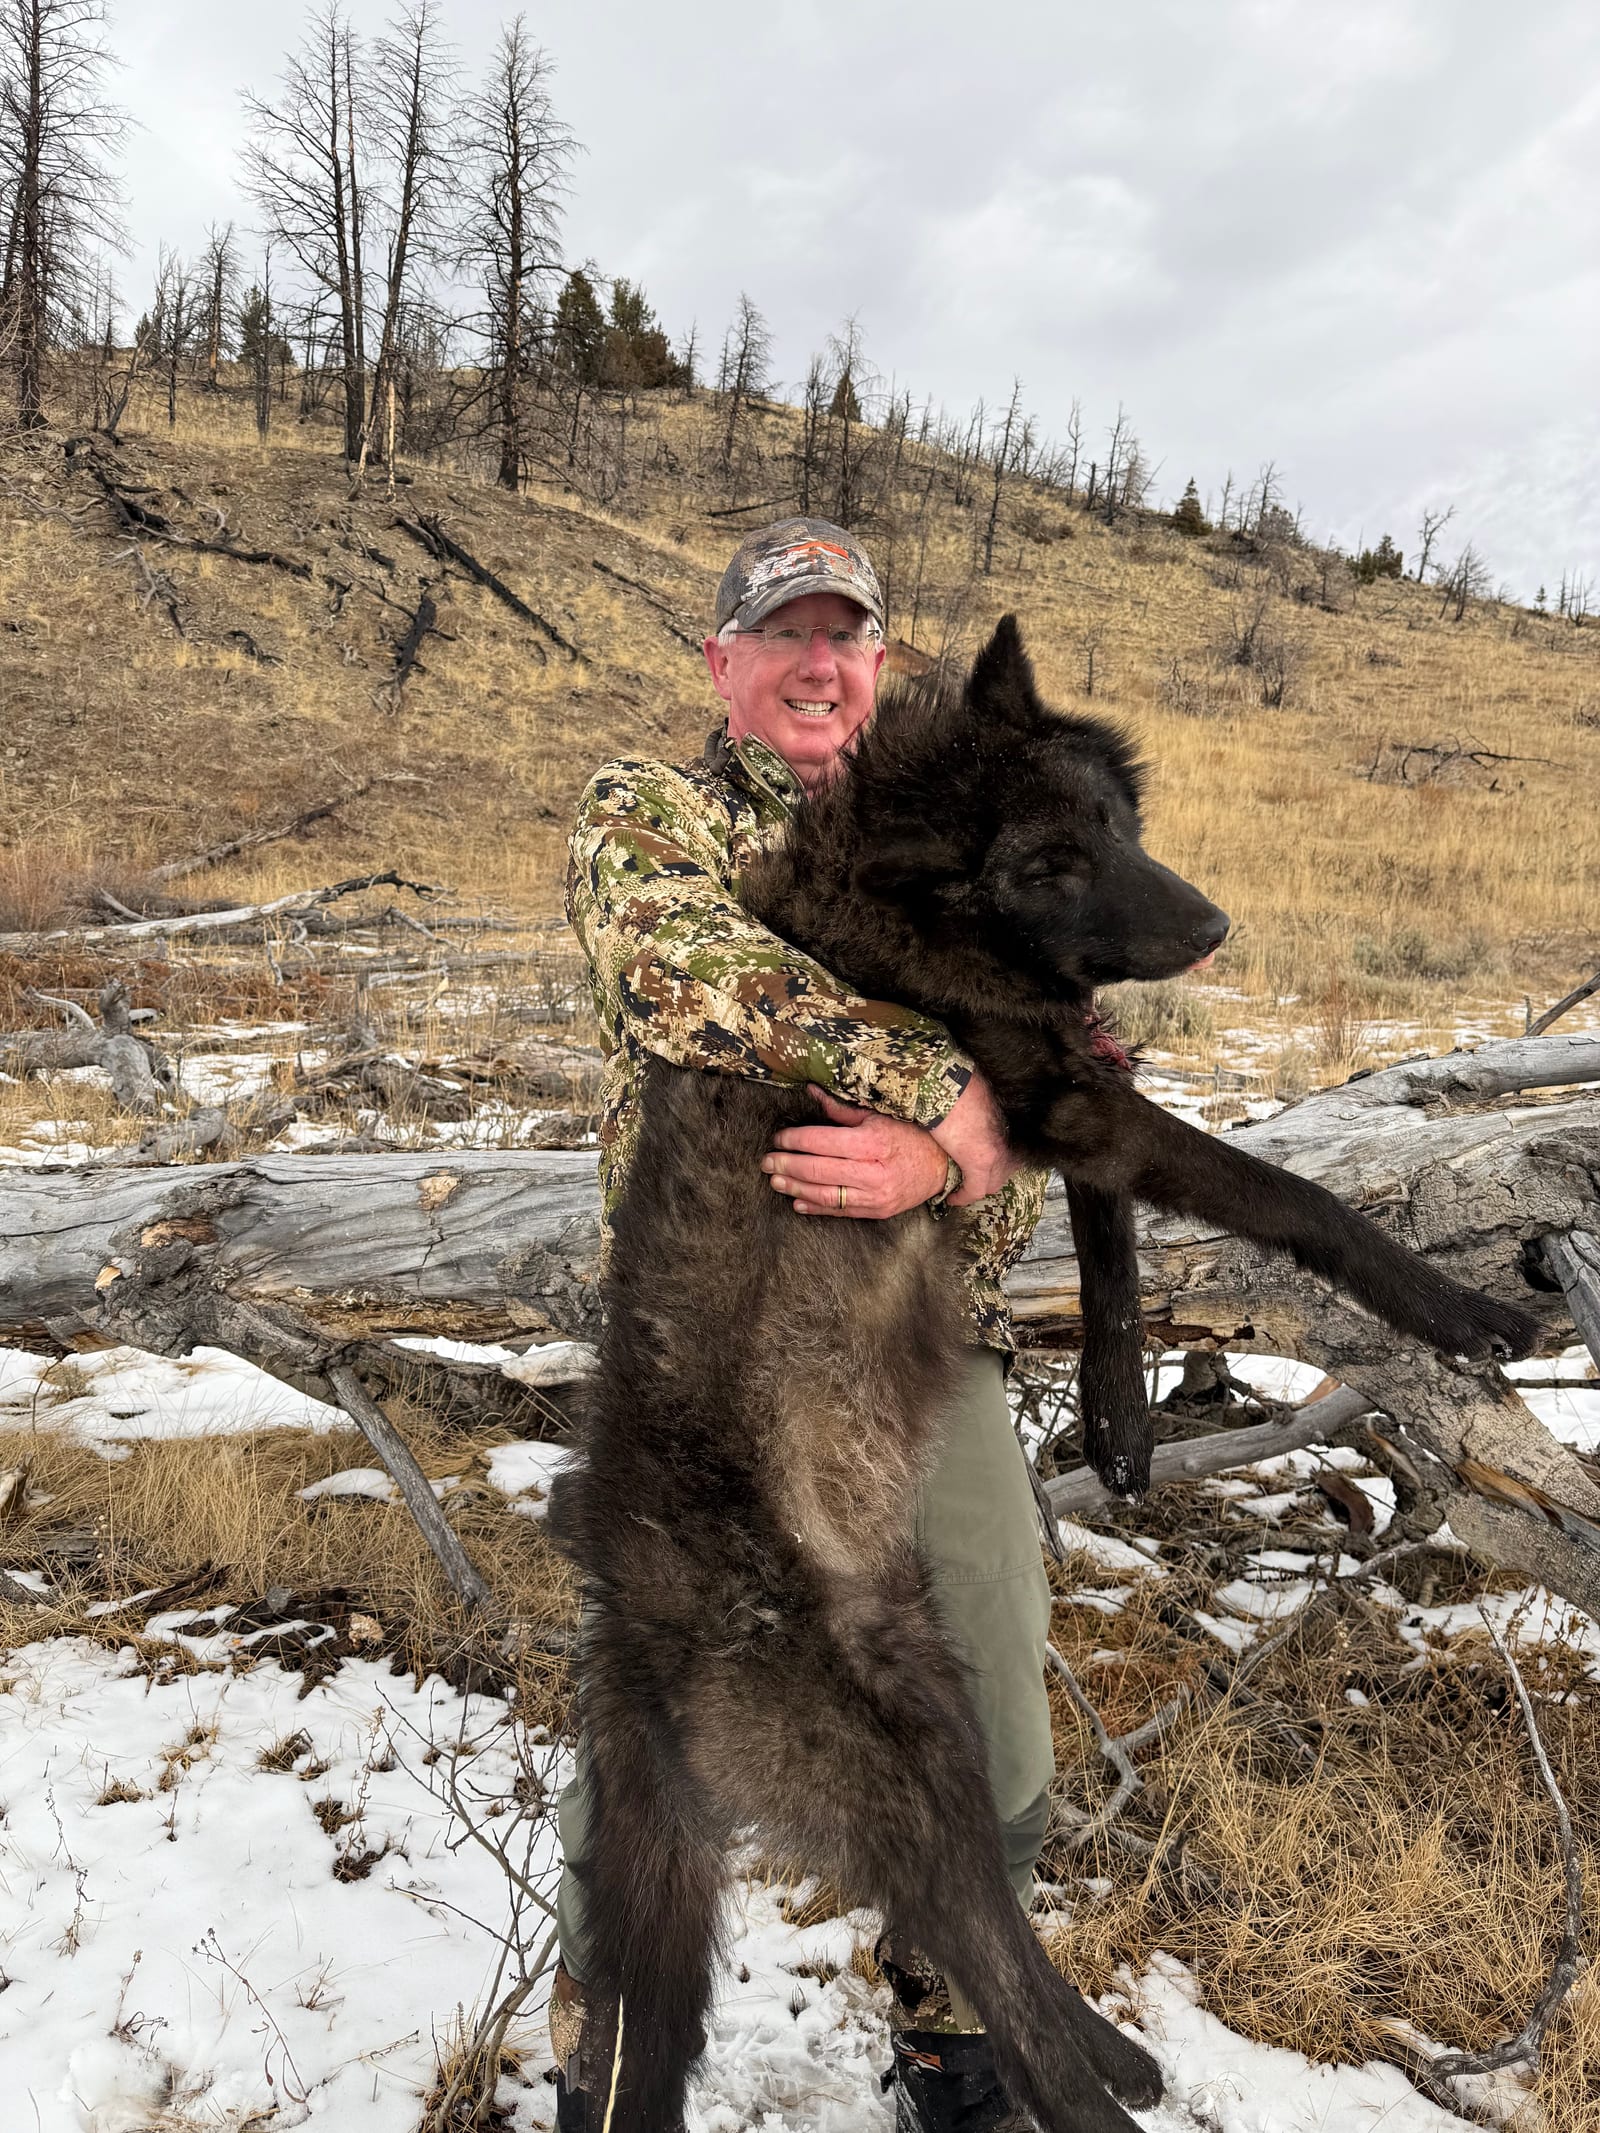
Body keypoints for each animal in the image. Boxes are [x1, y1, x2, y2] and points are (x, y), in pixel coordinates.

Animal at [556, 616, 1537, 2132]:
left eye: (1119, 828)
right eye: (1046, 863)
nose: (1214, 930)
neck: (911, 903)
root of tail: (637, 1638)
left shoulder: (1071, 1107)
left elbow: (1112, 1250)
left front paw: (1122, 1428)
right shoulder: (1075, 1099)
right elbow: (1302, 1202)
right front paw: (1464, 1308)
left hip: (943, 1721)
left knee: (983, 1940)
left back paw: (1116, 2051)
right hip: (904, 1767)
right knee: (987, 1977)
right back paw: (1093, 2085)